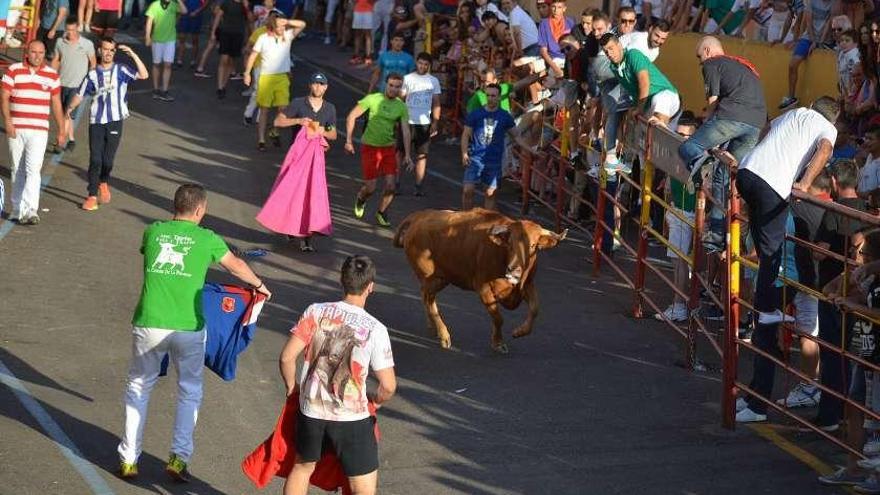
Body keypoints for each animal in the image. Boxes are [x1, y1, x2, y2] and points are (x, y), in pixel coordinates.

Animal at [396, 208, 568, 352]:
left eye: (532, 246)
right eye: (510, 244)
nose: (513, 269)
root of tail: (420, 216)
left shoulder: (527, 285)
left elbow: (535, 309)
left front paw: (519, 332)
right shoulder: (483, 288)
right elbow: (498, 318)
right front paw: (498, 343)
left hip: (442, 279)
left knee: (425, 298)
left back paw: (433, 328)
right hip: (433, 278)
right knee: (428, 299)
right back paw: (444, 335)